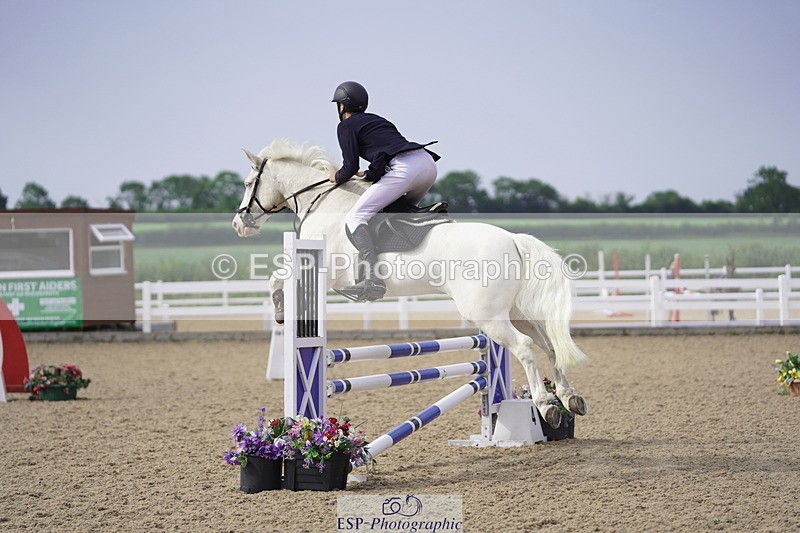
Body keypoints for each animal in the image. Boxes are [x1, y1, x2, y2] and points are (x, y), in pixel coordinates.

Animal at [231, 139, 588, 428]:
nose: (238, 224)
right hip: (514, 313)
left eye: (249, 183)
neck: (323, 202)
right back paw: (569, 398)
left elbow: (276, 277)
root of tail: (513, 238)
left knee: (526, 348)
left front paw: (280, 313)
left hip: (488, 316)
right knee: (550, 347)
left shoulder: (321, 268)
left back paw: (546, 406)